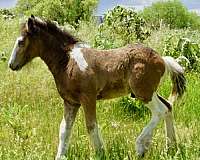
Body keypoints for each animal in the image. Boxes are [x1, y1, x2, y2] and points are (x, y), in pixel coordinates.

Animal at [7, 15, 186, 159]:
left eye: (21, 42)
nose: (11, 65)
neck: (68, 62)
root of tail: (162, 59)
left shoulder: (88, 98)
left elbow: (91, 126)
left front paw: (101, 153)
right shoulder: (70, 102)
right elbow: (64, 129)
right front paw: (60, 156)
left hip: (143, 92)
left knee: (160, 111)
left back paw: (141, 147)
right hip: (149, 92)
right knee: (168, 107)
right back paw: (171, 147)